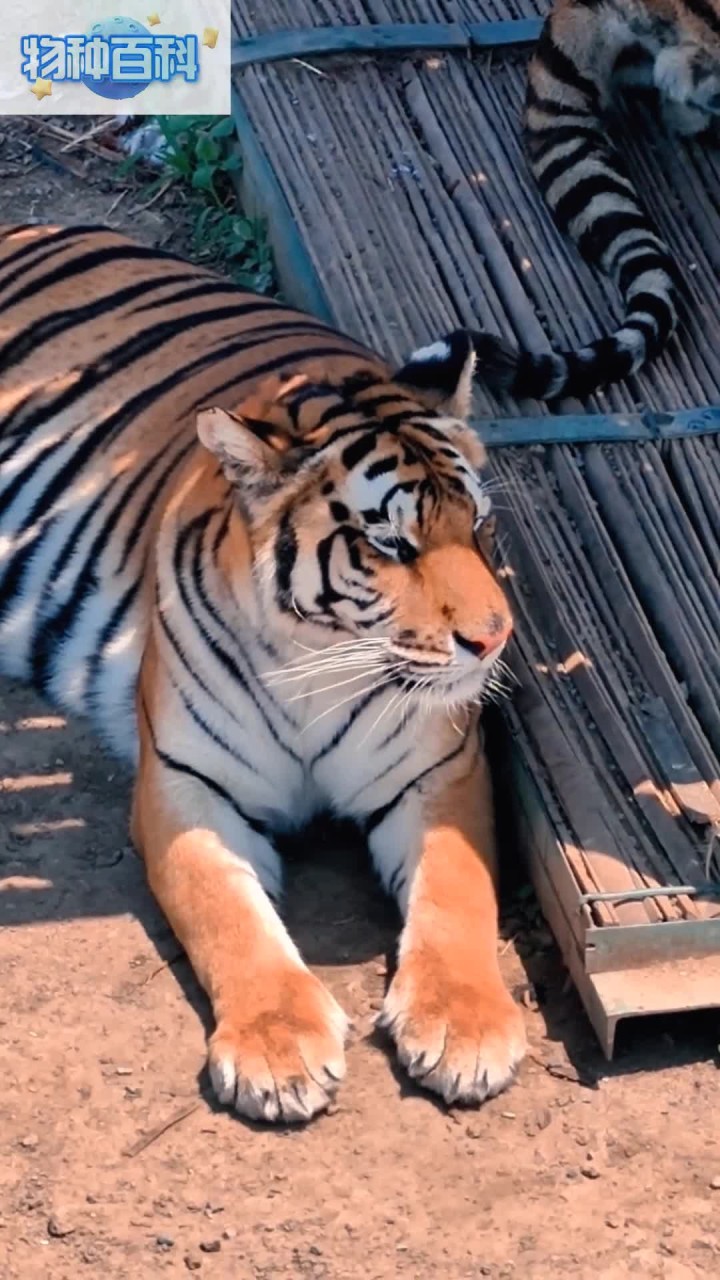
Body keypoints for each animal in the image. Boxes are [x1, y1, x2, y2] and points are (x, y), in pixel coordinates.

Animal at [0, 223, 527, 1124]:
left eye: (481, 528)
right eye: (391, 545)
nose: (494, 640)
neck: (315, 663)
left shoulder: (440, 771)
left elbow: (459, 892)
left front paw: (465, 1028)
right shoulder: (182, 784)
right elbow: (228, 916)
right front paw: (278, 1050)